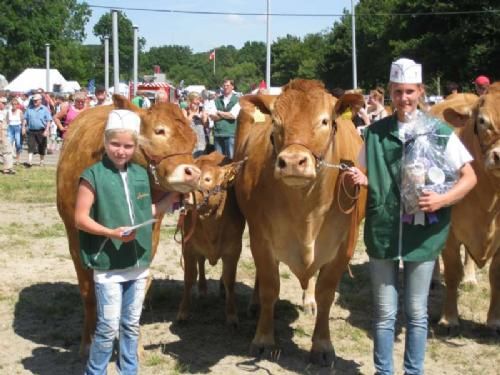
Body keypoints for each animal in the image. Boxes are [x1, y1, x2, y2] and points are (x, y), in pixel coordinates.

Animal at [56, 94, 201, 356]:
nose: (192, 173)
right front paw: (87, 342)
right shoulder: (74, 237)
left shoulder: (151, 233)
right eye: (159, 130)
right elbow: (88, 291)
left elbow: (137, 288)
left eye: (193, 139)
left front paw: (135, 344)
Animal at [176, 151, 246, 328]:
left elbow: (230, 280)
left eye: (207, 179)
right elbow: (189, 278)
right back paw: (202, 288)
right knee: (201, 262)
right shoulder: (188, 246)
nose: (185, 196)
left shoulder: (234, 249)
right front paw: (183, 312)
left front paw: (232, 315)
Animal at [234, 81, 368, 366]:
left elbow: (326, 293)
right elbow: (270, 287)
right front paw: (263, 340)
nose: (293, 162)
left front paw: (322, 345)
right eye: (275, 122)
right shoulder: (260, 238)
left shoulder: (344, 246)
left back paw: (308, 303)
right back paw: (254, 305)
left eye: (325, 121)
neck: (305, 208)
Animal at [430, 84, 500, 328]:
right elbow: (452, 272)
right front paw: (449, 318)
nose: (499, 156)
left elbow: (495, 275)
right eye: (482, 121)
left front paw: (494, 321)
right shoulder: (450, 232)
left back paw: (470, 278)